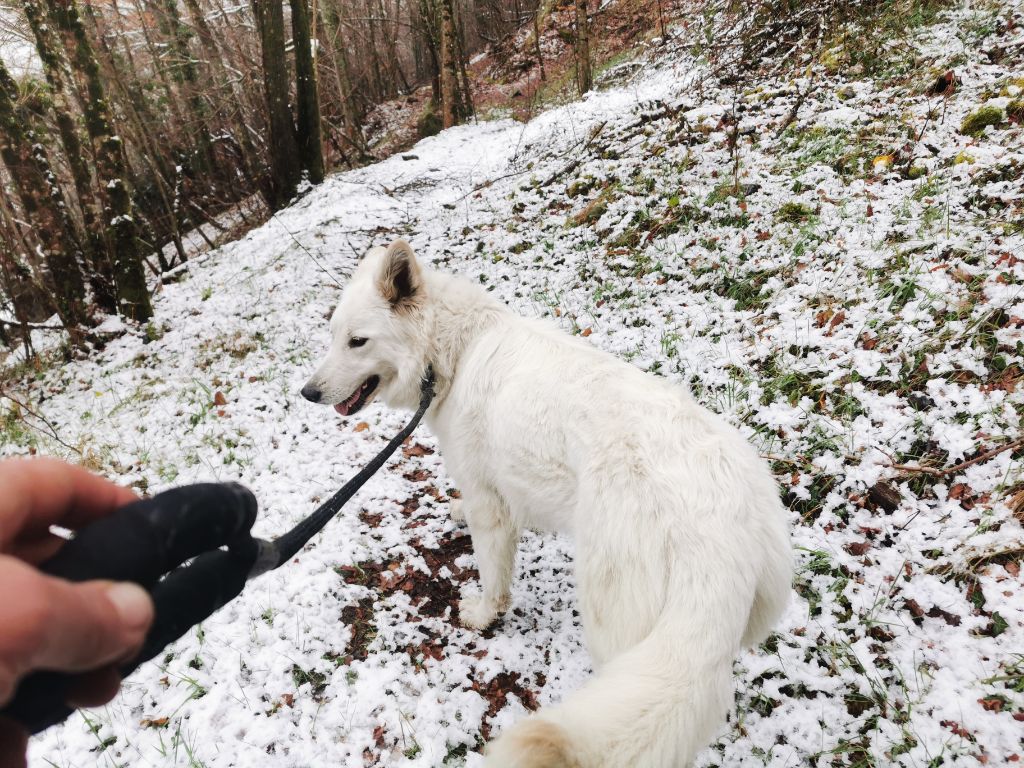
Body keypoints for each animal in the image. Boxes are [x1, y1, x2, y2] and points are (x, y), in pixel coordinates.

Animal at [299, 241, 794, 768]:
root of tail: (720, 526)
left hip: (612, 618)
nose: (307, 393)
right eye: (333, 338)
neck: (457, 349)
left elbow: (493, 577)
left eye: (357, 342)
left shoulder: (491, 508)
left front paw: (483, 615)